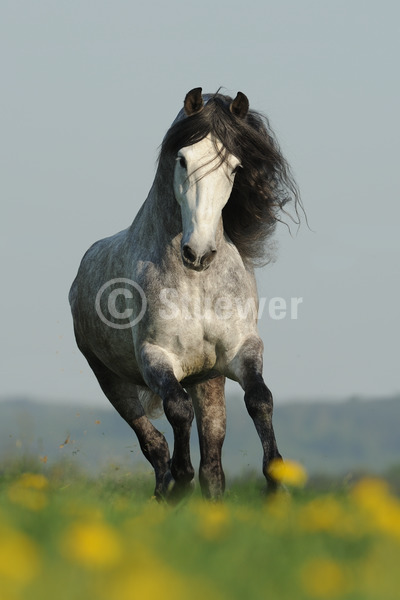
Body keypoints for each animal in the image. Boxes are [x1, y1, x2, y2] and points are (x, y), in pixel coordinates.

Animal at [69, 88, 300, 502]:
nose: (199, 252)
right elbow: (177, 410)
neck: (198, 285)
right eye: (182, 159)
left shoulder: (242, 350)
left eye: (235, 168)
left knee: (213, 454)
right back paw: (165, 488)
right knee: (153, 441)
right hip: (111, 379)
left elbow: (260, 400)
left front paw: (276, 484)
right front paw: (180, 479)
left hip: (207, 379)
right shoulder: (156, 357)